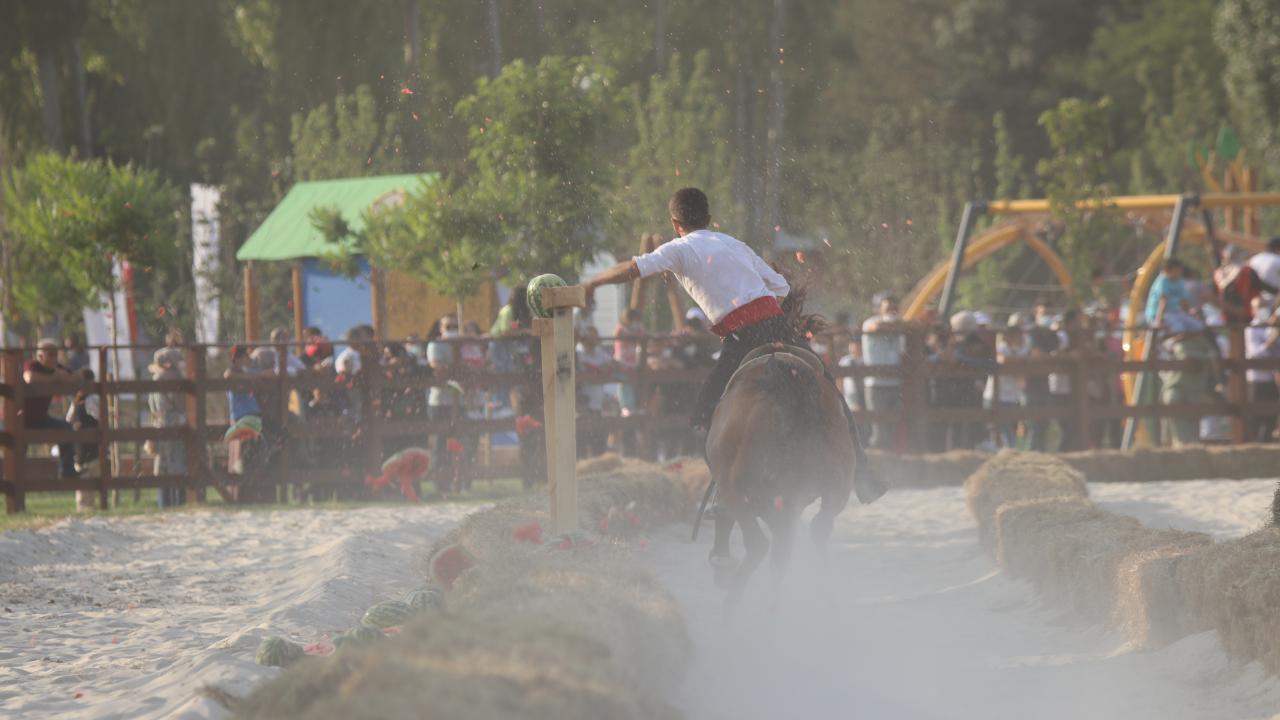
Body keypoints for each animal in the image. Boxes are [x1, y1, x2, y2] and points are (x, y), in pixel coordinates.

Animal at [704, 296, 857, 609]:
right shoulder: (786, 506)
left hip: (740, 491)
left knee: (759, 545)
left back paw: (732, 606)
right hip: (831, 488)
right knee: (813, 532)